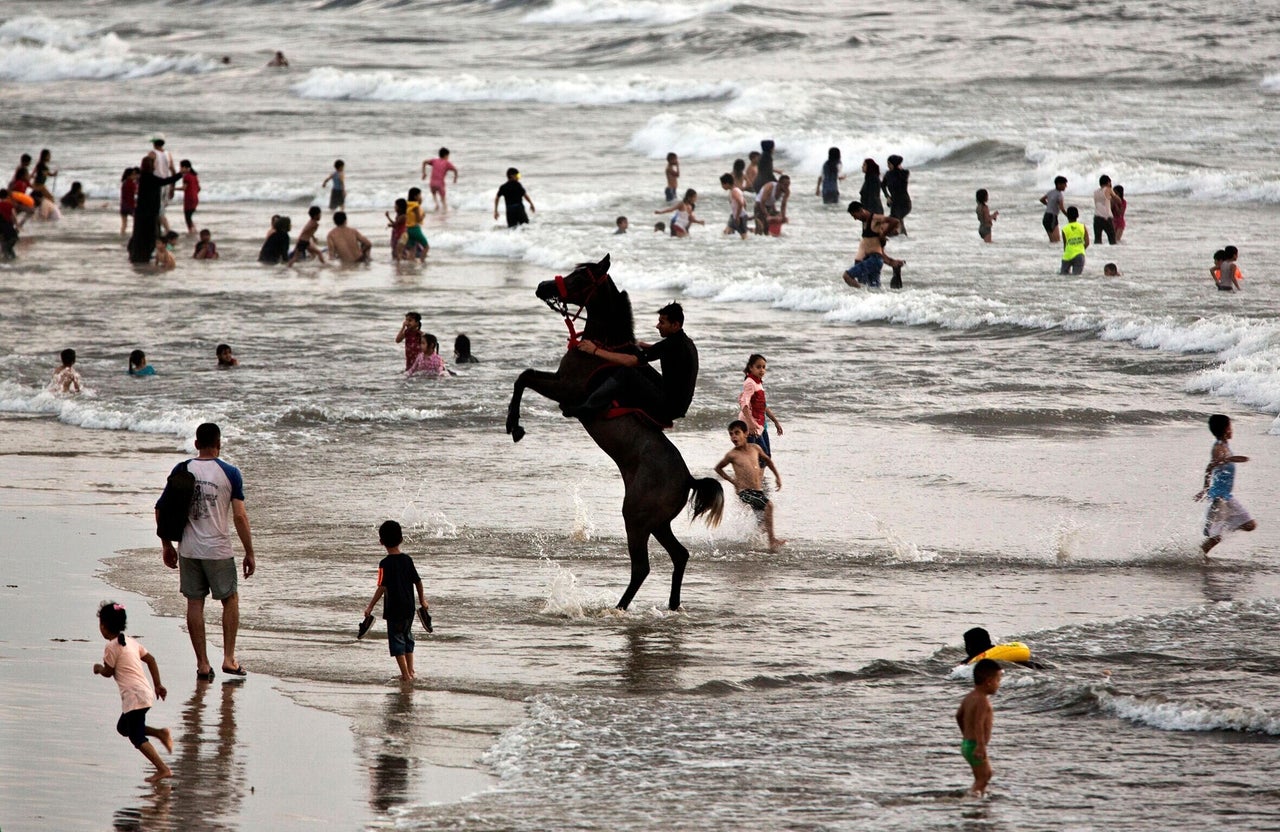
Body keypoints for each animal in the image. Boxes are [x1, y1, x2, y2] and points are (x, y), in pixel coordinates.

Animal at [509, 252, 732, 609]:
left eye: (580, 278)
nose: (543, 287)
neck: (605, 343)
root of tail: (688, 480)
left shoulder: (565, 388)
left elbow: (525, 377)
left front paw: (514, 426)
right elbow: (524, 376)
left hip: (636, 519)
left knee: (642, 566)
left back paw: (619, 608)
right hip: (658, 523)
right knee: (679, 555)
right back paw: (671, 606)